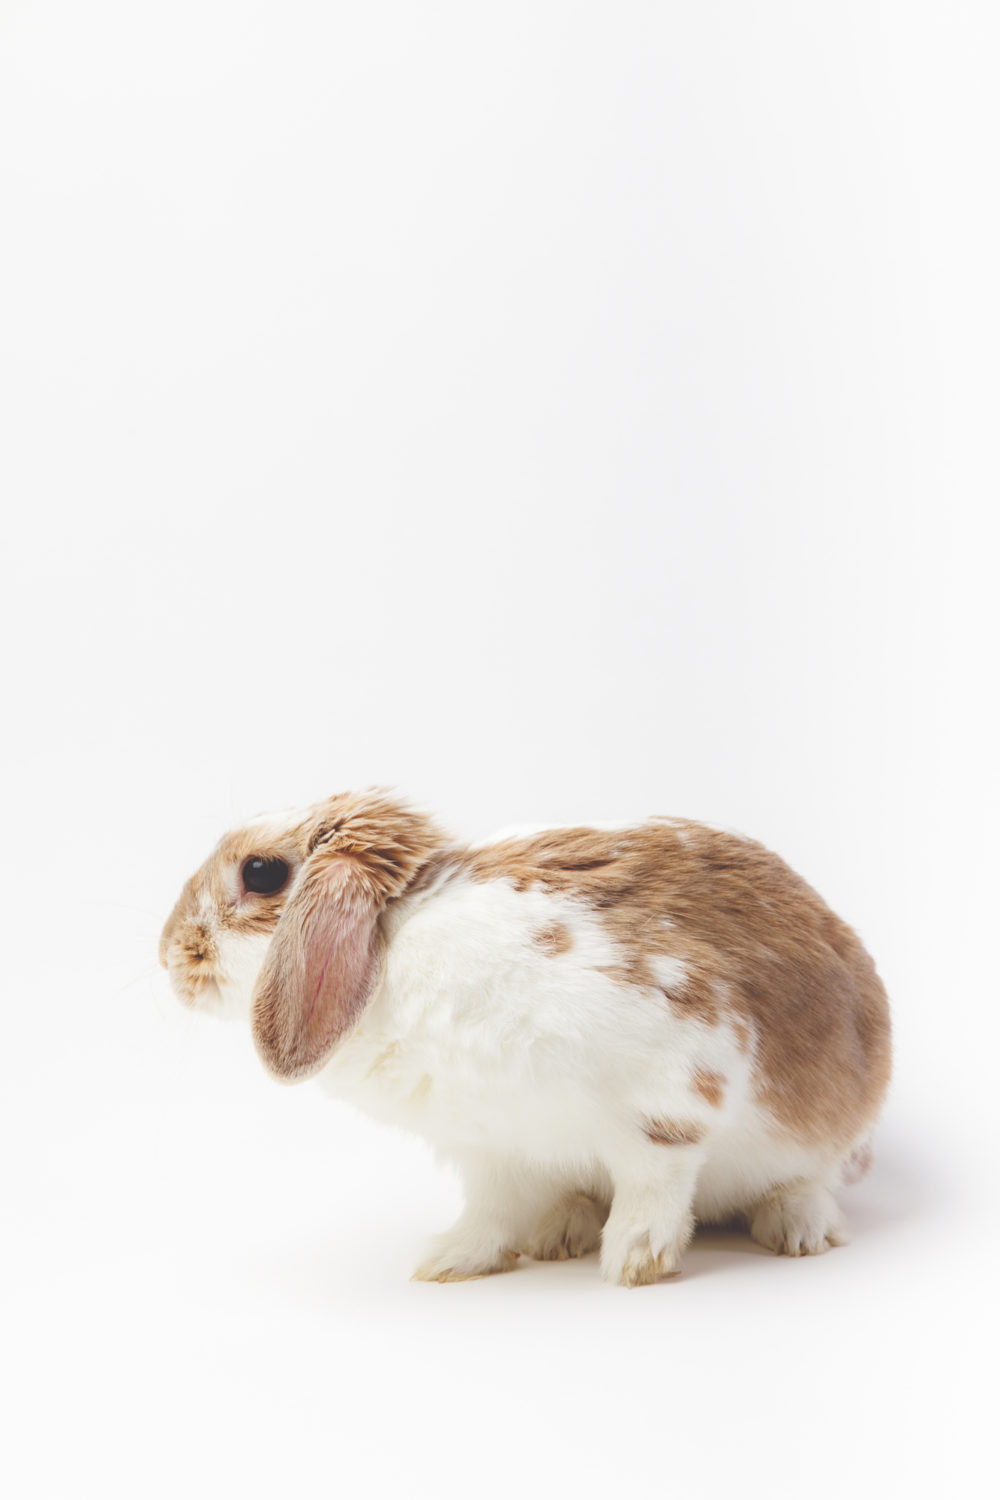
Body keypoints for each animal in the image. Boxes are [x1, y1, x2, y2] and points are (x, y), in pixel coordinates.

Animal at [159, 788, 891, 1286]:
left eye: (260, 873)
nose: (170, 955)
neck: (398, 944)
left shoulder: (674, 1086)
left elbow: (654, 1181)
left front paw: (633, 1261)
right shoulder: (491, 1147)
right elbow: (489, 1211)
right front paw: (447, 1260)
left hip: (824, 1134)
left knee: (805, 1180)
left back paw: (796, 1229)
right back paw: (560, 1230)